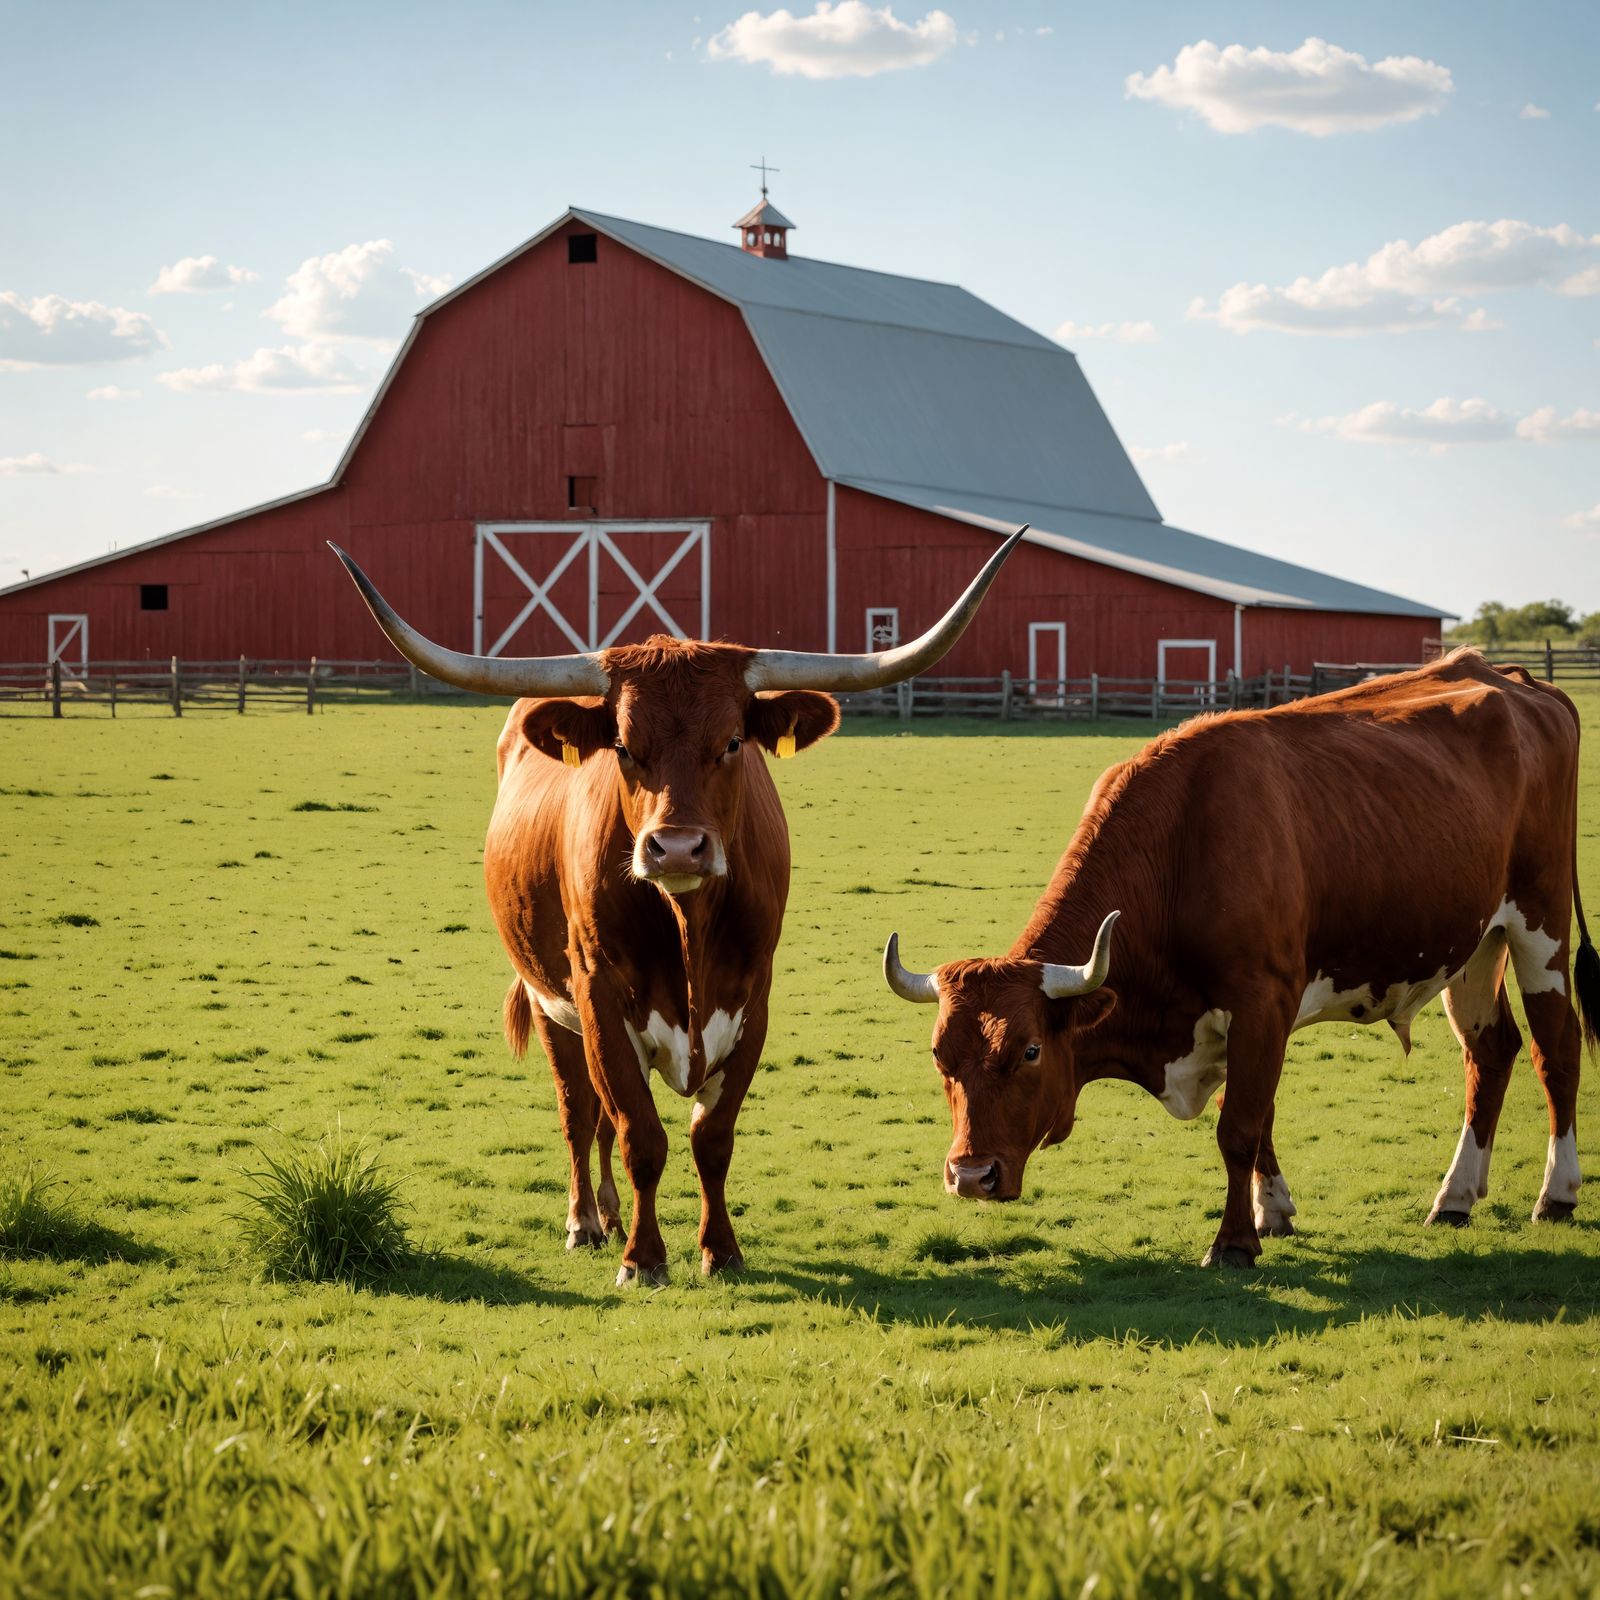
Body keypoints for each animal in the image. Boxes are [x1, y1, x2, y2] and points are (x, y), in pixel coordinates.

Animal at [331, 530, 1023, 1285]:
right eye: (624, 747)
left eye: (732, 742)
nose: (678, 849)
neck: (689, 931)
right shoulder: (598, 997)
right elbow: (640, 1134)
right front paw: (642, 1258)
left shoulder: (754, 1001)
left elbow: (710, 1138)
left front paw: (721, 1249)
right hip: (550, 1003)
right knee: (580, 1113)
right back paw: (586, 1220)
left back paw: (606, 1216)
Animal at [883, 650, 1600, 1268]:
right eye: (940, 1057)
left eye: (1030, 1051)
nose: (970, 1176)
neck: (1178, 845)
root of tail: (1511, 677)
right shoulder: (1246, 1020)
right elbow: (1261, 1115)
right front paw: (1270, 1212)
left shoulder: (1262, 1000)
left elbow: (1239, 1126)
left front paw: (1232, 1243)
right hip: (1472, 943)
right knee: (1491, 1051)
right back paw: (1454, 1198)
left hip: (1540, 926)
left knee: (1555, 1048)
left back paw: (1556, 1193)